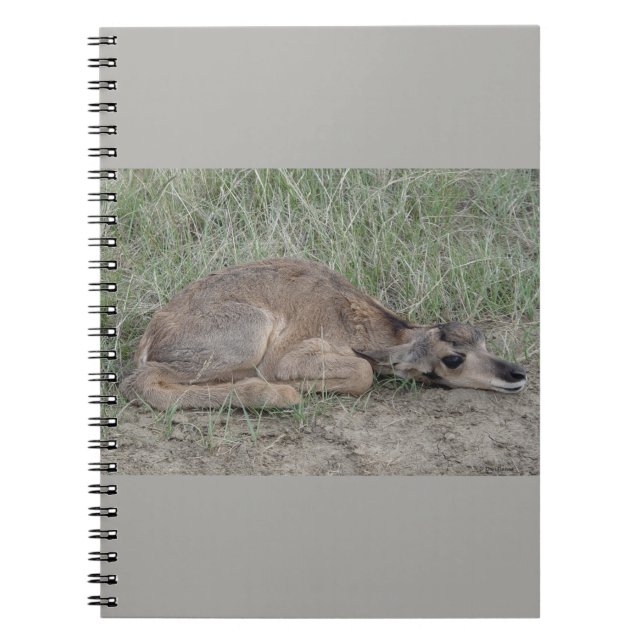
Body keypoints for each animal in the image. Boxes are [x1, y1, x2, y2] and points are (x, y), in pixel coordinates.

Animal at [121, 258, 527, 410]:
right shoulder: (291, 357)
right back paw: (276, 393)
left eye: (482, 338)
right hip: (249, 334)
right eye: (453, 358)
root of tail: (152, 333)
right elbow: (364, 372)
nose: (517, 374)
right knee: (141, 381)